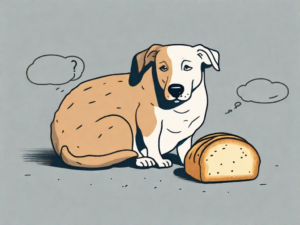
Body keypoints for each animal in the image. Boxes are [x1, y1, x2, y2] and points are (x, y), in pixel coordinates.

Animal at [51, 44, 220, 168]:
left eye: (187, 67)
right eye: (163, 68)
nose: (176, 89)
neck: (178, 108)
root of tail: (60, 144)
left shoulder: (187, 134)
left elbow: (185, 149)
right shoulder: (149, 125)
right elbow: (153, 145)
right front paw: (159, 160)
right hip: (119, 122)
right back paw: (142, 160)